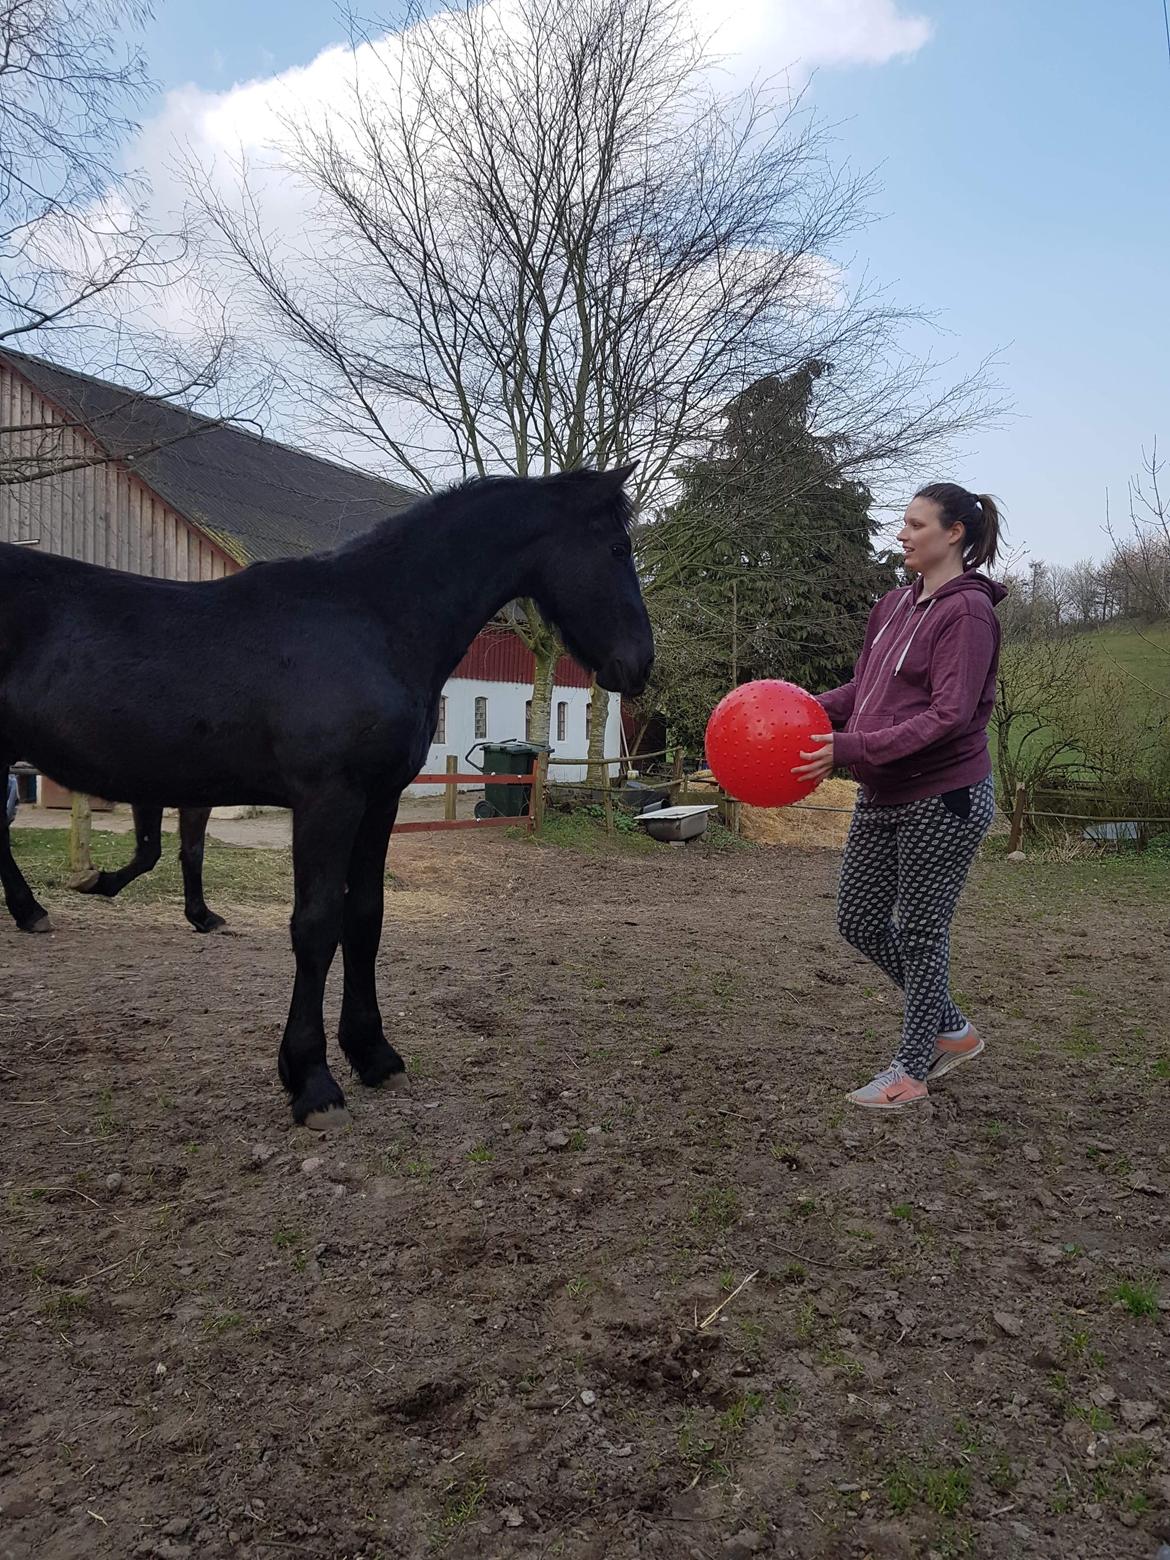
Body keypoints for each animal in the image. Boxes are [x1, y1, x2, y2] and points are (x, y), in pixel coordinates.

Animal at [0, 461, 652, 1123]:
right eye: (616, 547)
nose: (641, 663)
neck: (373, 622)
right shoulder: (327, 800)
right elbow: (315, 924)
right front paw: (311, 1077)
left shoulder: (378, 801)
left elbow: (365, 917)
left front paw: (372, 1052)